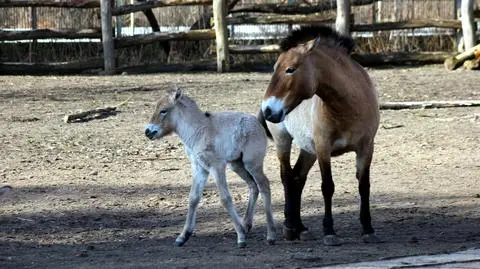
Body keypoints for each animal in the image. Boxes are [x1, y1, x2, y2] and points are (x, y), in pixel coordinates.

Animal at [144, 88, 276, 247]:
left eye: (163, 111)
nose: (148, 131)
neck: (198, 131)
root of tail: (256, 122)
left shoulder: (216, 166)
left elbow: (225, 198)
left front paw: (240, 237)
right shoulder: (199, 168)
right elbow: (193, 198)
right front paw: (183, 236)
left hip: (252, 164)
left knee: (264, 186)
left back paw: (270, 235)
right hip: (237, 165)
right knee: (253, 186)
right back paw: (246, 225)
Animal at [260, 25, 380, 245]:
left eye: (290, 69)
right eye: (274, 68)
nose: (268, 110)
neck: (348, 106)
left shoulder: (366, 148)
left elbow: (364, 186)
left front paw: (368, 228)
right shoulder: (324, 148)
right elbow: (327, 187)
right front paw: (329, 231)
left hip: (308, 150)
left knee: (298, 178)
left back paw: (300, 228)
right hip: (284, 141)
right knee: (287, 178)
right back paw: (289, 227)